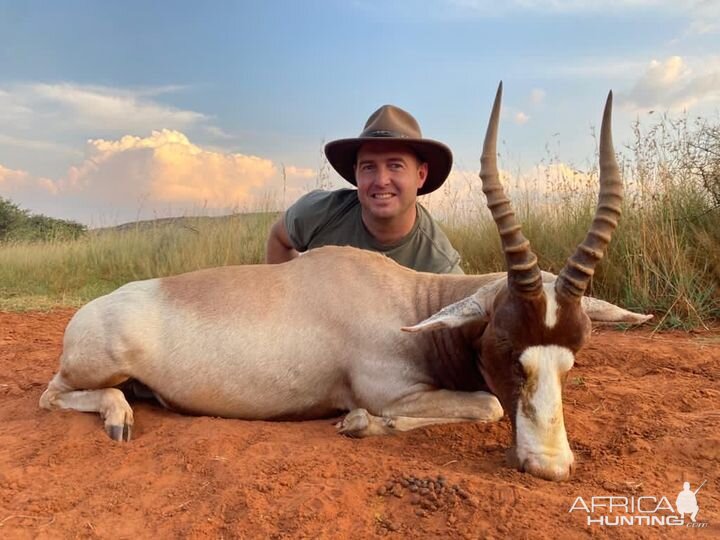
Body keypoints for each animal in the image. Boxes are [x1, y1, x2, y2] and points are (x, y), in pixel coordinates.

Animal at [39, 84, 648, 480]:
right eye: (505, 346)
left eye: (573, 357)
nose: (549, 467)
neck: (408, 303)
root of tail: (89, 312)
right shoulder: (392, 390)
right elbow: (488, 405)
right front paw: (358, 423)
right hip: (93, 367)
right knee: (51, 396)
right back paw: (118, 417)